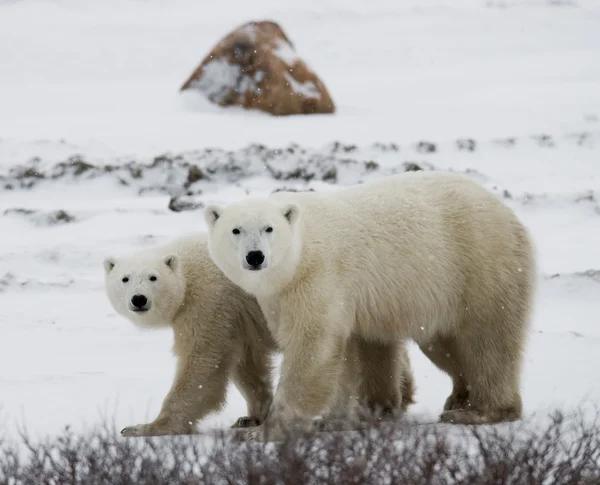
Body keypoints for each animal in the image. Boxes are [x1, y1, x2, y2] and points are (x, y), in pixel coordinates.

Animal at [205, 172, 536, 440]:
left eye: (269, 228)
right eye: (235, 230)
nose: (255, 256)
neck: (300, 253)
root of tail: (508, 213)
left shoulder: (319, 277)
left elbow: (312, 346)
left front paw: (266, 430)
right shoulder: (284, 296)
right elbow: (353, 352)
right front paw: (351, 416)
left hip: (479, 265)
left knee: (487, 341)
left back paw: (479, 411)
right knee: (443, 342)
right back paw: (458, 398)